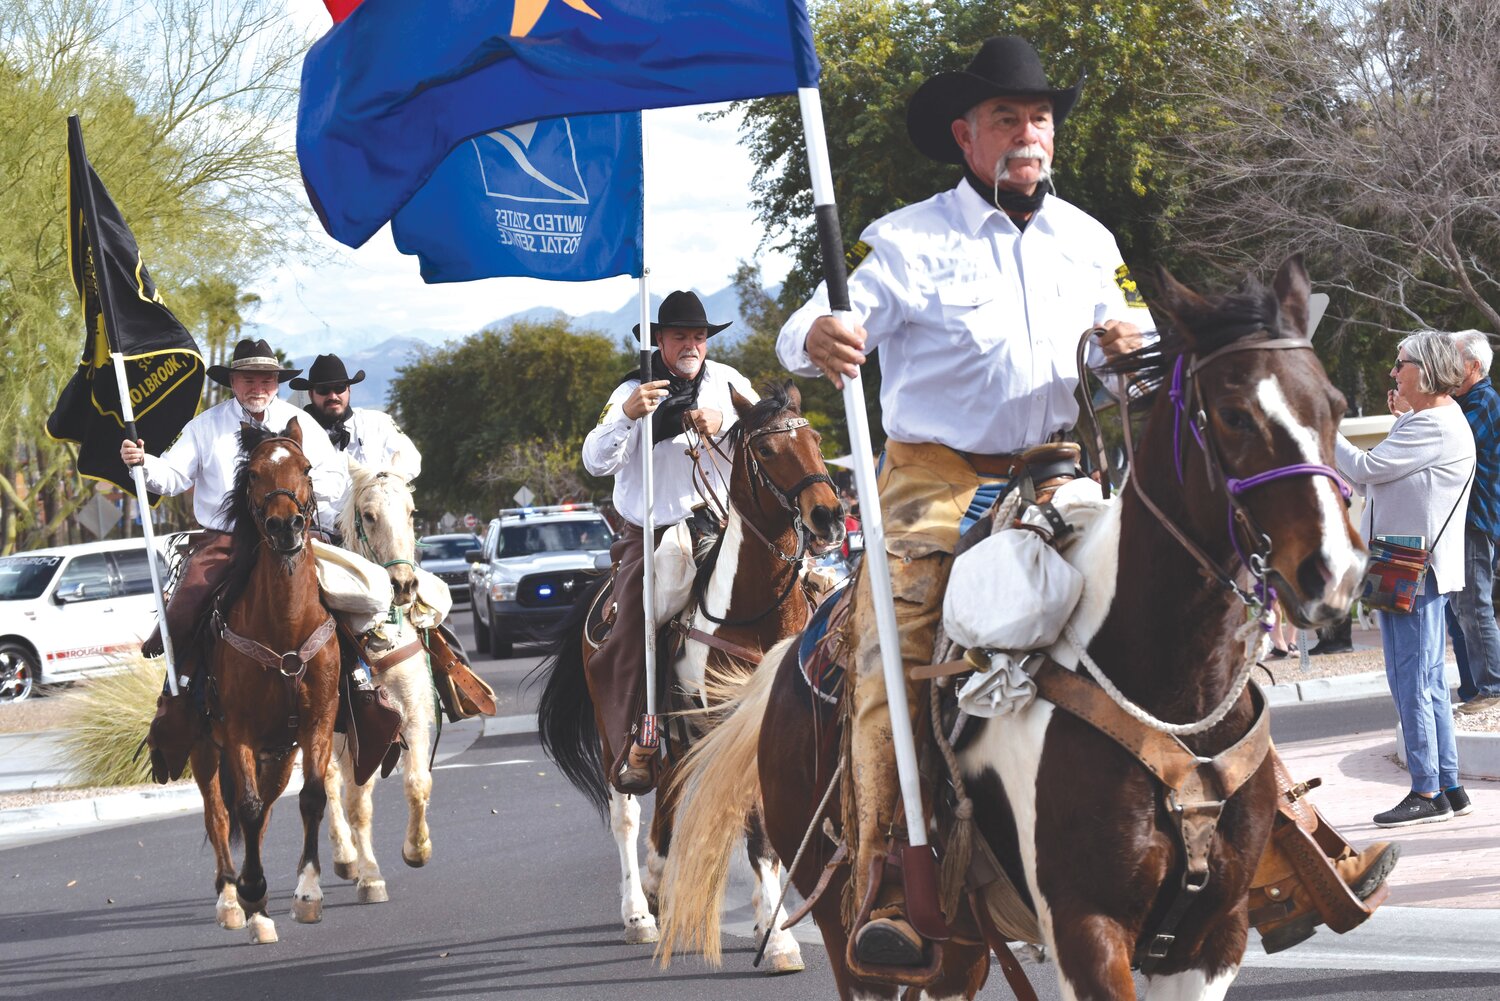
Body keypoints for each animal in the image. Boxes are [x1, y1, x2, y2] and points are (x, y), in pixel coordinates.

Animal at [187, 420, 343, 948]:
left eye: (307, 468)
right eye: (253, 473)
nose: (284, 526)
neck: (285, 628)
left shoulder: (318, 721)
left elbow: (311, 798)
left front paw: (308, 893)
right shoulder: (237, 730)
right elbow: (247, 810)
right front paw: (252, 891)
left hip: (279, 753)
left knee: (270, 805)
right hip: (205, 748)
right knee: (219, 813)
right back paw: (232, 900)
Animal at [324, 465, 438, 906]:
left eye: (411, 512)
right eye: (369, 516)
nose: (403, 585)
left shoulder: (411, 716)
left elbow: (418, 783)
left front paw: (417, 849)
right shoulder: (351, 731)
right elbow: (356, 804)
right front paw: (370, 876)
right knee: (330, 787)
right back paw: (347, 858)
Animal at [537, 381, 846, 972]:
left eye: (817, 440)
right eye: (767, 449)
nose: (829, 518)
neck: (753, 612)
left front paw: (771, 925)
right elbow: (755, 829)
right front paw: (778, 940)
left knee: (672, 794)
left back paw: (660, 883)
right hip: (617, 732)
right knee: (627, 811)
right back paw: (638, 913)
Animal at [663, 261, 1368, 1001]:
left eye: (1334, 404)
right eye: (1233, 414)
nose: (1334, 570)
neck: (1170, 694)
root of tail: (784, 668)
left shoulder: (1213, 937)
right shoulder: (1086, 930)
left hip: (959, 945)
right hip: (846, 925)